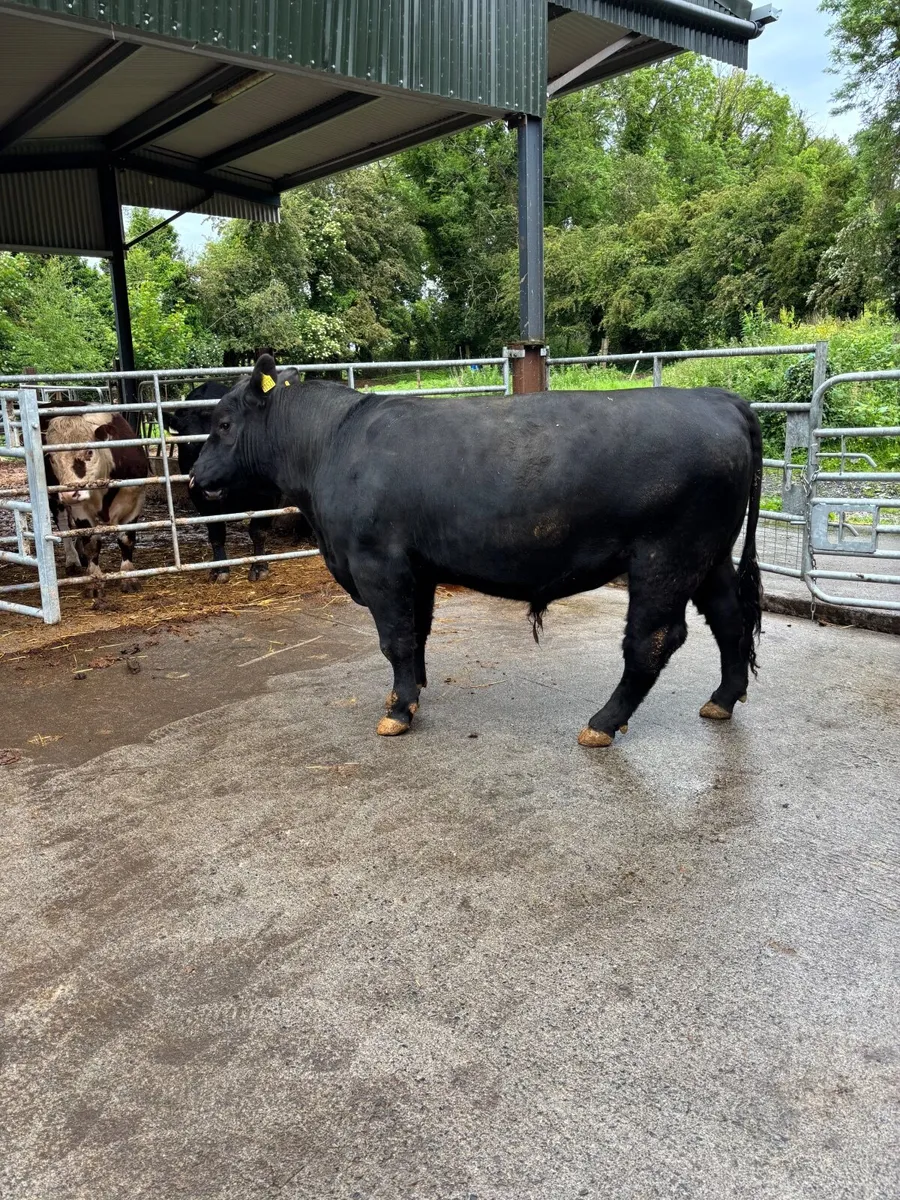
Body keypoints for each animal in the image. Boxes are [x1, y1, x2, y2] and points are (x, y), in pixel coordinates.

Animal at [44, 412, 148, 596]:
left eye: (89, 451)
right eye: (51, 458)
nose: (69, 494)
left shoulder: (135, 501)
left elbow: (126, 539)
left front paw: (128, 577)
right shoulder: (80, 509)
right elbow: (91, 543)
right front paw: (94, 581)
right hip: (55, 499)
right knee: (64, 526)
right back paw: (73, 560)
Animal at [167, 380, 284, 583]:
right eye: (189, 443)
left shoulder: (268, 497)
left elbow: (258, 532)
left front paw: (259, 566)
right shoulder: (200, 498)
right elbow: (216, 533)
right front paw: (220, 569)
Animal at [191, 354, 763, 747]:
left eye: (223, 424)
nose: (195, 478)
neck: (332, 444)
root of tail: (717, 398)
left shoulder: (378, 563)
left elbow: (395, 638)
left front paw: (397, 712)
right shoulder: (416, 568)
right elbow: (417, 633)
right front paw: (408, 694)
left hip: (666, 557)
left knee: (652, 641)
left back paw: (603, 723)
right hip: (709, 556)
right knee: (729, 618)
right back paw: (722, 699)